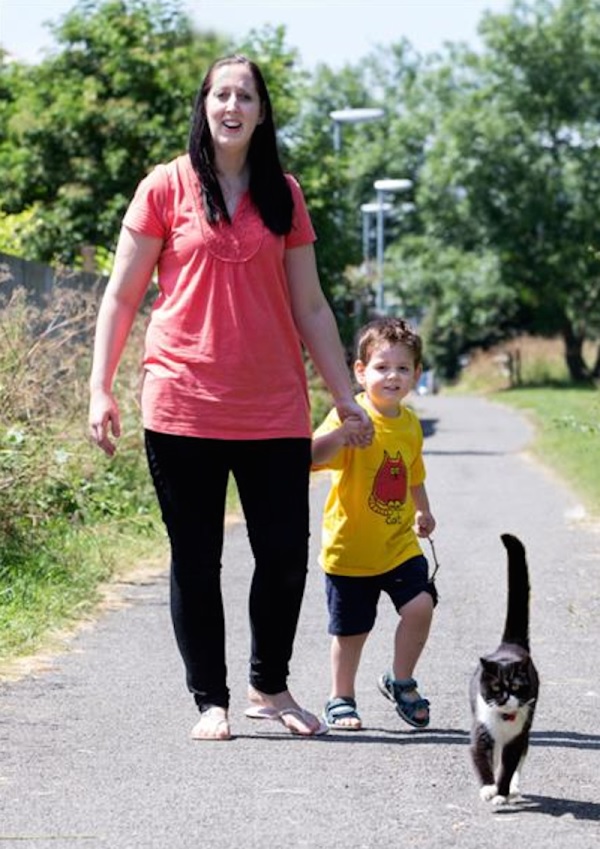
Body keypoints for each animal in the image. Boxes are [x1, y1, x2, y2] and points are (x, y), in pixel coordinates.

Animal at [468, 532, 540, 804]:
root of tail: (509, 645)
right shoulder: (481, 729)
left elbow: (508, 766)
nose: (507, 698)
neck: (503, 720)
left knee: (521, 757)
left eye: (517, 687)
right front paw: (488, 788)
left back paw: (514, 789)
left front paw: (501, 792)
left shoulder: (516, 738)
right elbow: (481, 757)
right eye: (497, 688)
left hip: (527, 727)